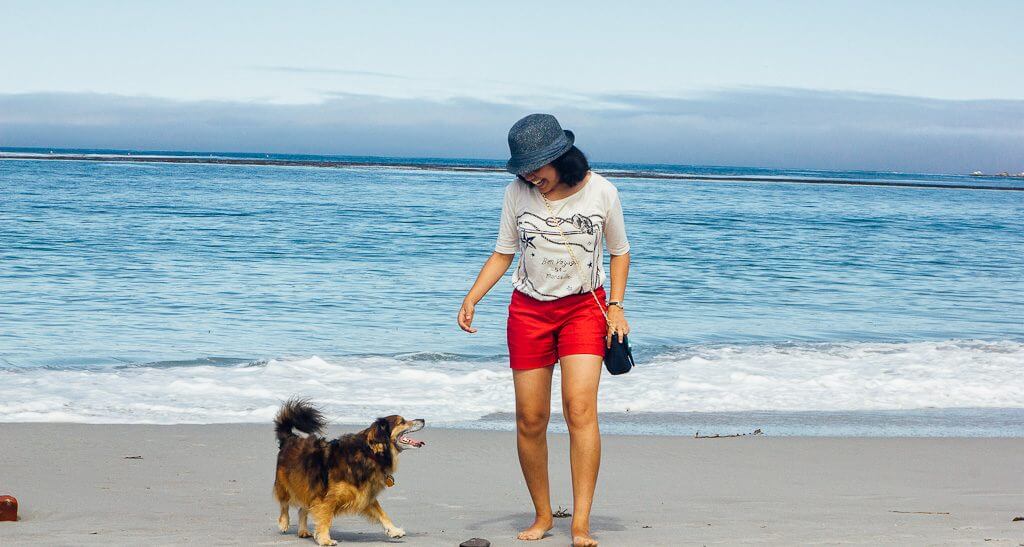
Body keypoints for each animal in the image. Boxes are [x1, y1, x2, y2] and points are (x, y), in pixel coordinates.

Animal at [272, 399, 423, 547]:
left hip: (309, 487)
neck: (369, 453)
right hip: (287, 483)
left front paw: (394, 530)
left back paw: (303, 530)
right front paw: (325, 539)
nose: (423, 419)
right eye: (402, 422)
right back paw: (284, 523)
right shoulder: (327, 497)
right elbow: (325, 519)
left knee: (302, 509)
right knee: (284, 504)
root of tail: (289, 438)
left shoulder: (365, 494)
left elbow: (382, 514)